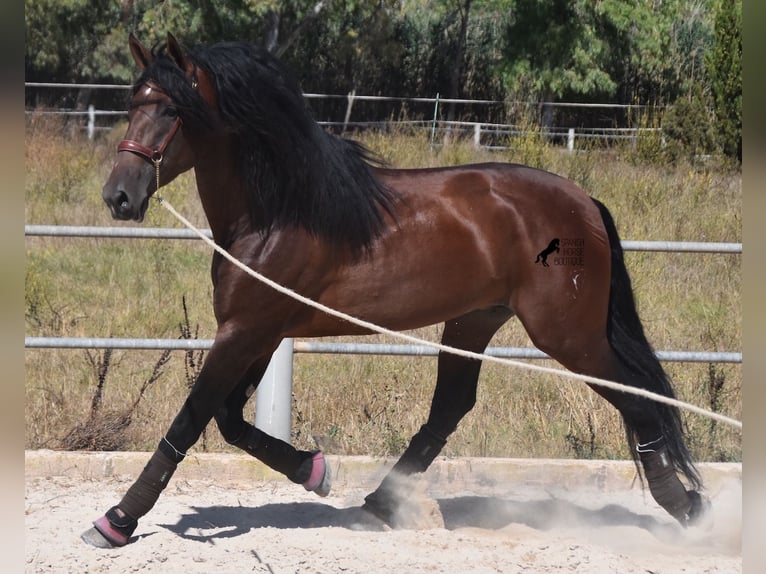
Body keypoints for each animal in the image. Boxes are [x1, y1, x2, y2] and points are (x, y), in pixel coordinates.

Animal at [85, 33, 708, 548]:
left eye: (172, 109)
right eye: (132, 104)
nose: (118, 197)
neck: (276, 211)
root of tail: (586, 204)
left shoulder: (245, 330)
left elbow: (191, 419)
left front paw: (117, 521)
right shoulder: (258, 333)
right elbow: (230, 421)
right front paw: (315, 471)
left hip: (568, 334)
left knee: (637, 398)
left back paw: (688, 508)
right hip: (475, 320)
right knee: (451, 408)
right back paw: (383, 501)